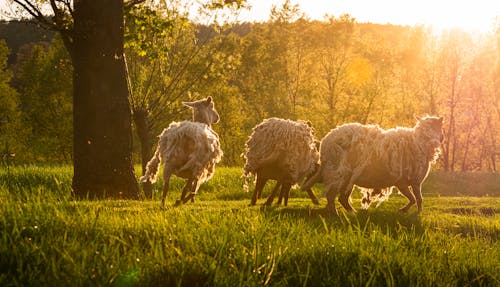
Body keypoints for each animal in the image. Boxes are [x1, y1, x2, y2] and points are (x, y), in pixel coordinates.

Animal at [302, 115, 444, 216]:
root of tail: (325, 144)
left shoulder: (402, 182)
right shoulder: (413, 181)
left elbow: (413, 199)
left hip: (345, 179)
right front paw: (418, 214)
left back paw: (353, 213)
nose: (440, 139)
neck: (419, 142)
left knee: (342, 198)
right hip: (338, 173)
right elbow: (418, 199)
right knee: (331, 196)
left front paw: (404, 211)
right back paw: (336, 214)